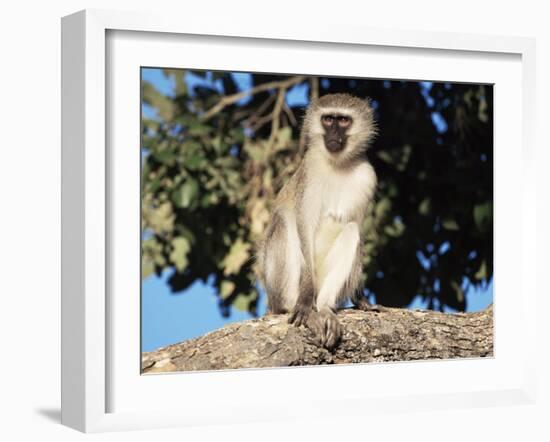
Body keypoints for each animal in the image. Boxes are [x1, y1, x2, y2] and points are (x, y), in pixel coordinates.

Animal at [258, 92, 380, 348]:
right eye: (328, 119)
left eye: (343, 120)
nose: (333, 135)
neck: (338, 165)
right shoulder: (310, 172)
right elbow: (303, 227)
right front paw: (304, 301)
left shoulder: (368, 176)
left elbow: (357, 227)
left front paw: (362, 299)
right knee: (283, 221)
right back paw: (297, 306)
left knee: (352, 230)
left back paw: (324, 309)